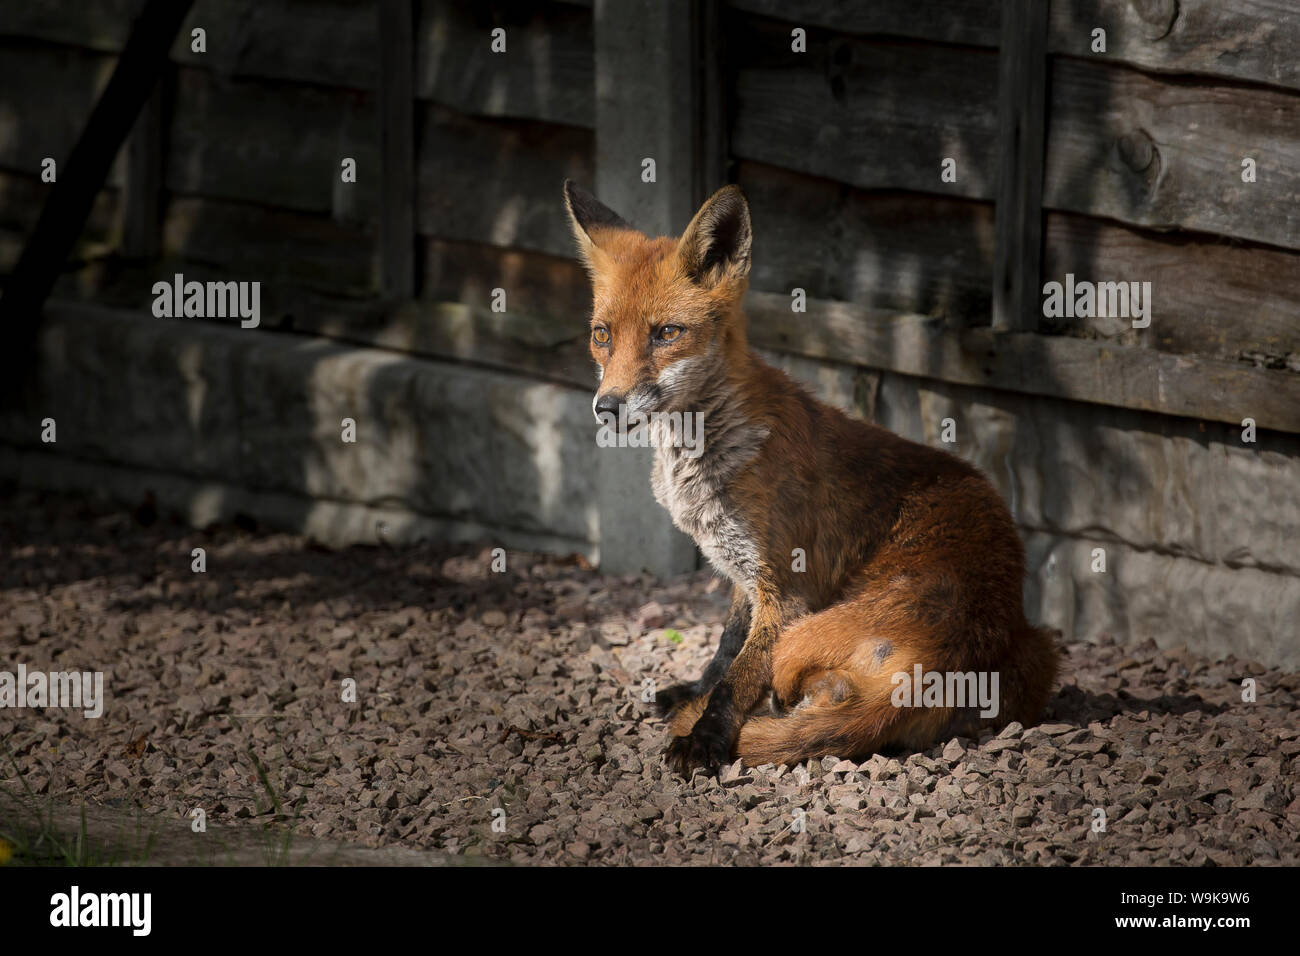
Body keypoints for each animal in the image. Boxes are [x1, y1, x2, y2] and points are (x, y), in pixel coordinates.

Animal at [564, 180, 1060, 780]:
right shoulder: (745, 575)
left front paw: (707, 736)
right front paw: (692, 694)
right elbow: (724, 653)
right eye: (602, 335)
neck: (710, 453)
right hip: (1042, 650)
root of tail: (950, 650)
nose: (607, 407)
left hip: (805, 636)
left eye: (667, 334)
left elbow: (739, 677)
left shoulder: (787, 592)